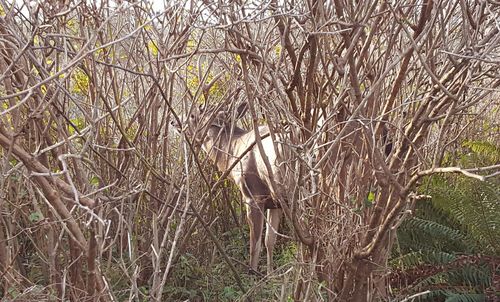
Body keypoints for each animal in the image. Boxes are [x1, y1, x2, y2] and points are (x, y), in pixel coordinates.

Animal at [172, 102, 282, 276]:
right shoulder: (275, 202)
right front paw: (270, 275)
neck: (234, 151)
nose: (173, 122)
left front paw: (253, 274)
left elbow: (255, 245)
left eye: (193, 115)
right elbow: (269, 240)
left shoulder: (253, 196)